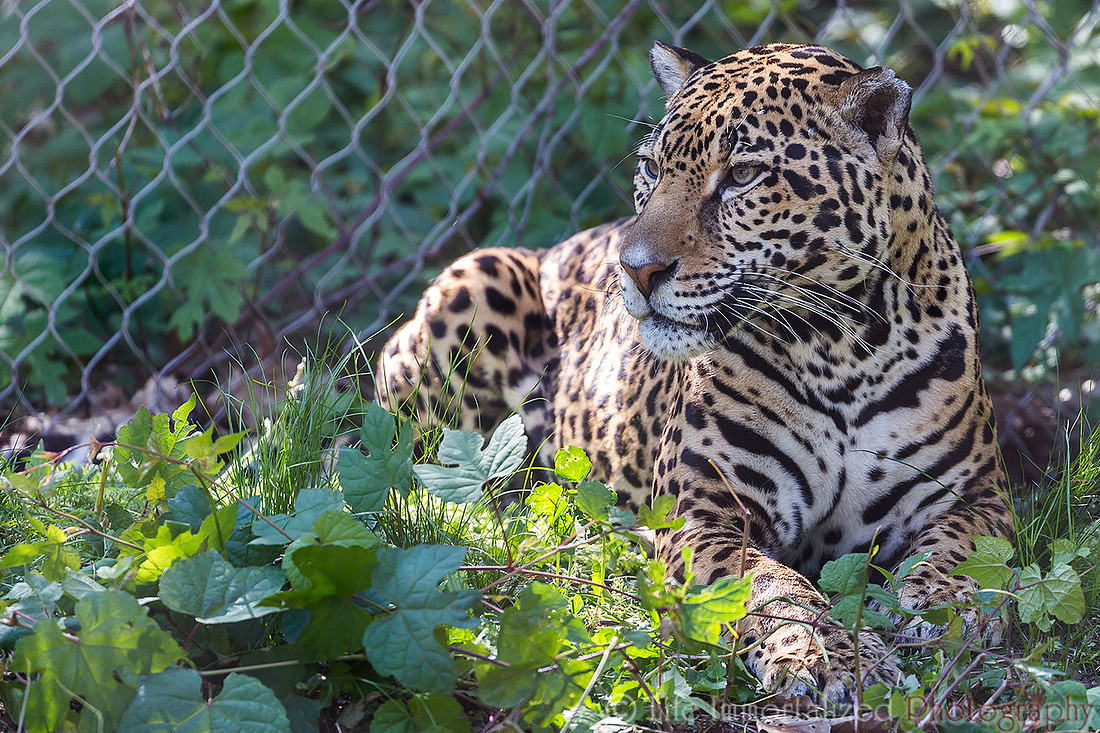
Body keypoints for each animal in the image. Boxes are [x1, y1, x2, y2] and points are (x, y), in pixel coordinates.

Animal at [375, 41, 1013, 704]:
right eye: (652, 168)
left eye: (742, 177)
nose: (635, 269)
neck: (841, 347)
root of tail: (555, 247)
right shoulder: (704, 512)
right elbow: (774, 587)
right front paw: (830, 657)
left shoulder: (976, 491)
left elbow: (968, 550)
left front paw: (938, 604)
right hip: (474, 282)